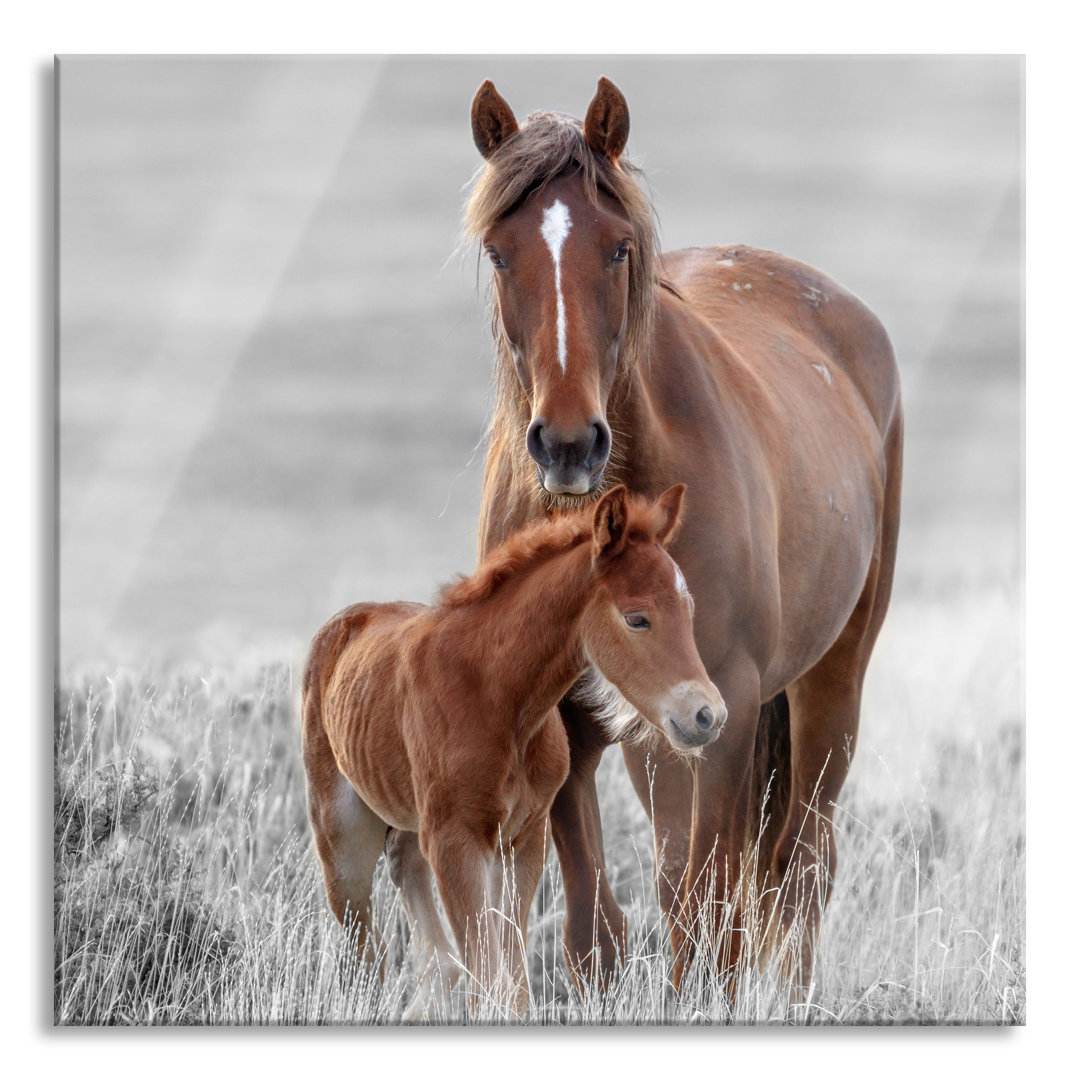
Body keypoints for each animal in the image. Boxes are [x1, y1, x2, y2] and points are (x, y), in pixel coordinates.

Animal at [302, 486, 725, 1015]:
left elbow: (512, 980)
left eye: (689, 611)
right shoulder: (456, 841)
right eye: (637, 618)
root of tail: (342, 623)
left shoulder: (523, 839)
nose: (707, 716)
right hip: (341, 838)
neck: (499, 699)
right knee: (364, 946)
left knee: (410, 885)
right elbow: (489, 978)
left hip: (412, 823)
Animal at [464, 73, 902, 989]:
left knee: (800, 863)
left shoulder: (722, 709)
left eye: (619, 248)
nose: (568, 444)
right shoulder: (570, 720)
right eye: (498, 252)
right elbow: (597, 929)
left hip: (829, 688)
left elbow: (708, 911)